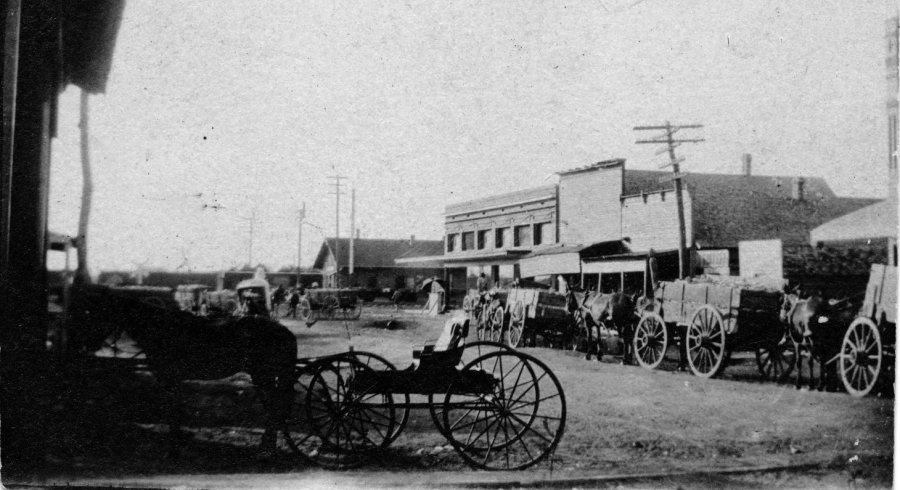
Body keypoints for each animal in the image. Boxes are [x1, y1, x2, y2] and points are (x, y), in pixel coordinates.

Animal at [68, 286, 298, 458]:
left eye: (94, 312)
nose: (83, 344)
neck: (161, 329)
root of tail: (284, 330)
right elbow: (175, 410)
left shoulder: (169, 378)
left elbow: (172, 410)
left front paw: (173, 448)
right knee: (274, 408)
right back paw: (267, 448)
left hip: (263, 375)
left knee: (275, 407)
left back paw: (266, 451)